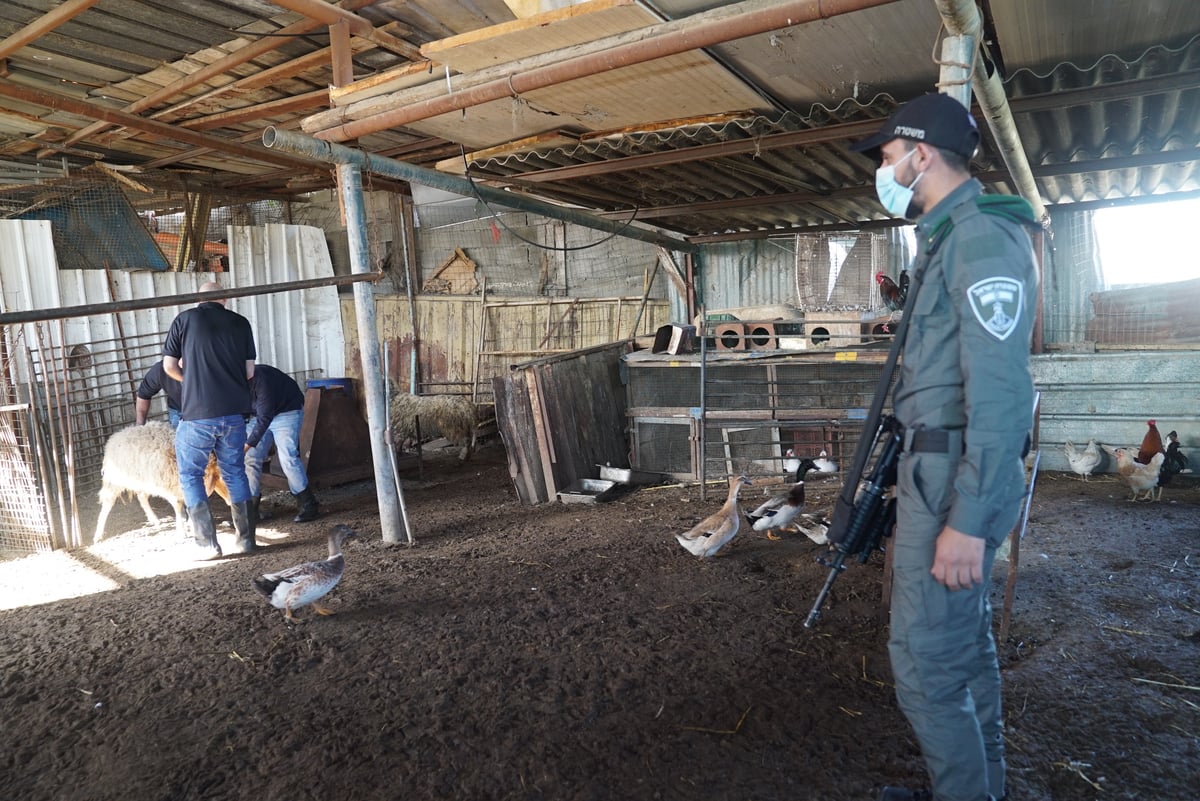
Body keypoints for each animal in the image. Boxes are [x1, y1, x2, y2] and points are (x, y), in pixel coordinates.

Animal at [93, 419, 229, 544]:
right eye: (221, 478)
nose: (230, 501)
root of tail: (117, 435)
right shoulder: (170, 487)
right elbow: (178, 507)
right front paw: (181, 533)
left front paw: (192, 525)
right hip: (115, 480)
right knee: (108, 503)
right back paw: (98, 534)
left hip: (144, 480)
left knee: (142, 497)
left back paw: (154, 519)